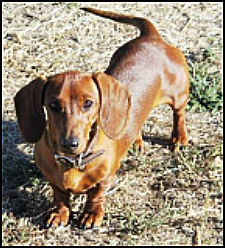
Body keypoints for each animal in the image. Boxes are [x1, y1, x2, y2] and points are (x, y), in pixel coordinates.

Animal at [14, 7, 189, 229]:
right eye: (53, 105)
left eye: (88, 103)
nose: (70, 143)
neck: (75, 161)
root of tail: (151, 37)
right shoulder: (53, 179)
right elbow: (60, 195)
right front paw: (59, 213)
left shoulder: (106, 176)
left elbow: (96, 194)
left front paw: (91, 214)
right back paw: (136, 141)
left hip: (178, 95)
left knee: (179, 113)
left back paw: (179, 138)